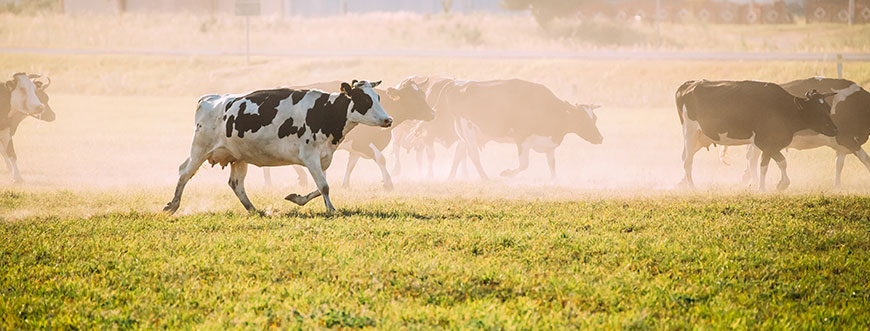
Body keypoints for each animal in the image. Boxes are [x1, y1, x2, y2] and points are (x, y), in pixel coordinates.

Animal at [163, 81, 392, 214]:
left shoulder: (323, 158)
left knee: (236, 183)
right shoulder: (310, 156)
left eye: (378, 97)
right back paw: (173, 205)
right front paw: (331, 209)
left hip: (238, 157)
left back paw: (254, 210)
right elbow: (324, 186)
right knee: (184, 172)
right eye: (364, 99)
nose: (388, 119)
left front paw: (296, 198)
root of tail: (210, 98)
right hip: (200, 149)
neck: (325, 111)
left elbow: (319, 187)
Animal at [676, 79, 840, 191]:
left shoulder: (771, 145)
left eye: (828, 108)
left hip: (699, 138)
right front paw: (782, 184)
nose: (835, 130)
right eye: (817, 111)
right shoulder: (764, 142)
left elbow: (764, 165)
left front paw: (762, 188)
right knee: (687, 161)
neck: (781, 108)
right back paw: (692, 187)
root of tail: (689, 84)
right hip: (690, 132)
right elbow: (782, 161)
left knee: (684, 158)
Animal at [740, 77, 870, 187]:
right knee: (752, 159)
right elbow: (865, 158)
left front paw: (837, 186)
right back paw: (756, 182)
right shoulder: (845, 137)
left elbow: (839, 164)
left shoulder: (842, 144)